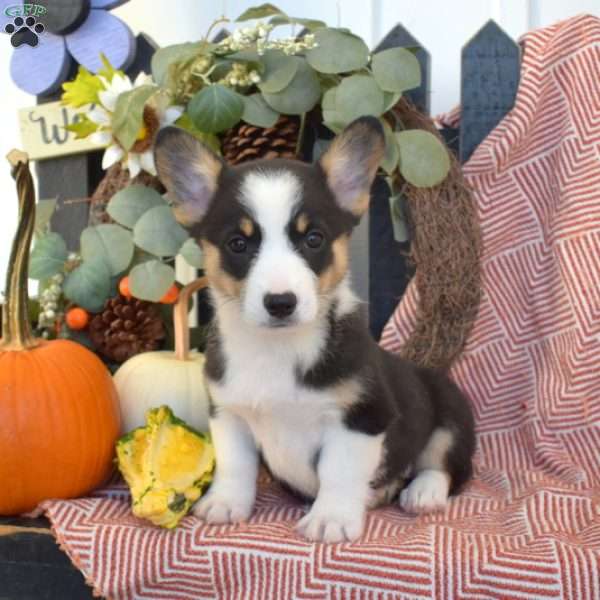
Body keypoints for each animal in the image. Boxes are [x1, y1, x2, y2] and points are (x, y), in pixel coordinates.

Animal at [155, 117, 474, 544]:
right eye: (238, 243)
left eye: (313, 239)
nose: (281, 303)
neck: (276, 348)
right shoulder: (228, 413)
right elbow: (235, 465)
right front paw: (224, 503)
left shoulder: (360, 417)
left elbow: (338, 472)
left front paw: (331, 519)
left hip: (451, 414)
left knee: (445, 465)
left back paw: (422, 492)